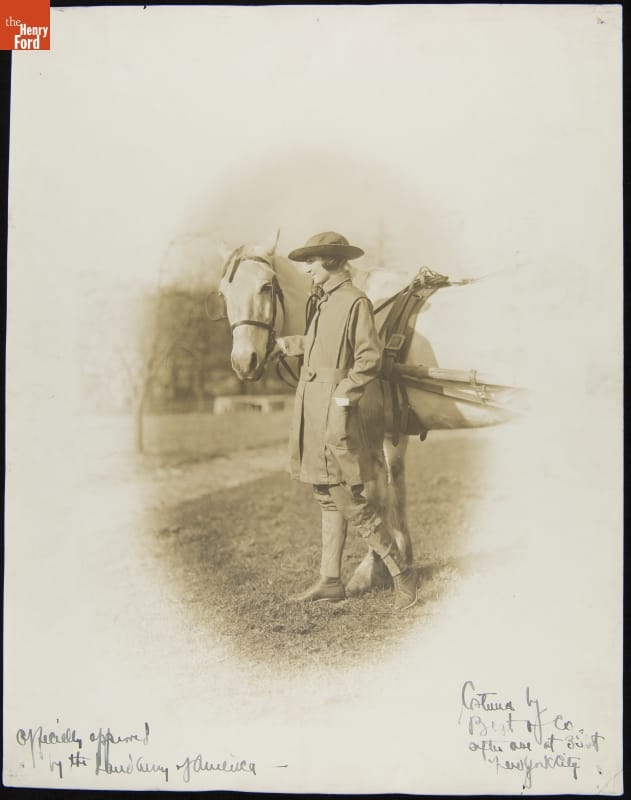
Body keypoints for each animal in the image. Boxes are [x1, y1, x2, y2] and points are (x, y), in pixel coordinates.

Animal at [210, 233, 528, 593]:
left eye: (266, 286)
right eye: (223, 293)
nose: (244, 362)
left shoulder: (367, 430)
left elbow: (374, 495)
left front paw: (372, 568)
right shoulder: (392, 431)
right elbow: (397, 490)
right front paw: (402, 555)